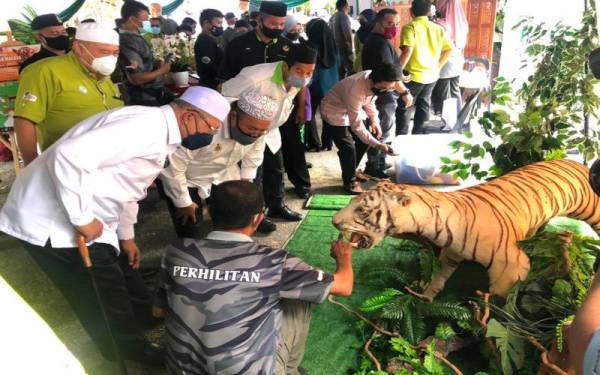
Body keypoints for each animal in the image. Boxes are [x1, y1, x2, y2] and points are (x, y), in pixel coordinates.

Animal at [332, 159, 600, 300]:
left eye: (362, 210)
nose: (334, 221)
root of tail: (576, 160)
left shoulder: (511, 268)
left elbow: (499, 303)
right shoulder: (451, 253)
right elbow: (439, 276)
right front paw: (427, 296)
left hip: (592, 209)